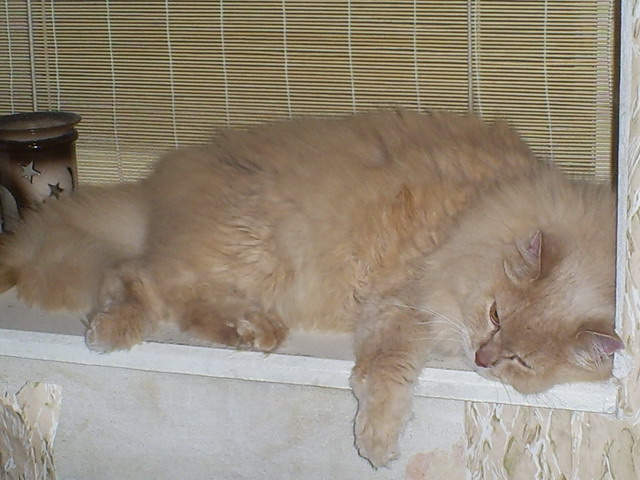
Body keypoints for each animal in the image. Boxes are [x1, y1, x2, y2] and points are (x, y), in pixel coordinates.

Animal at [0, 109, 623, 468]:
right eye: (495, 315)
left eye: (521, 360)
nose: (483, 359)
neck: (479, 210)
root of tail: (155, 192)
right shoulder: (403, 303)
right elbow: (386, 374)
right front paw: (376, 440)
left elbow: (384, 370)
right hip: (251, 252)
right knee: (133, 278)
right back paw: (115, 329)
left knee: (177, 298)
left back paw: (251, 332)